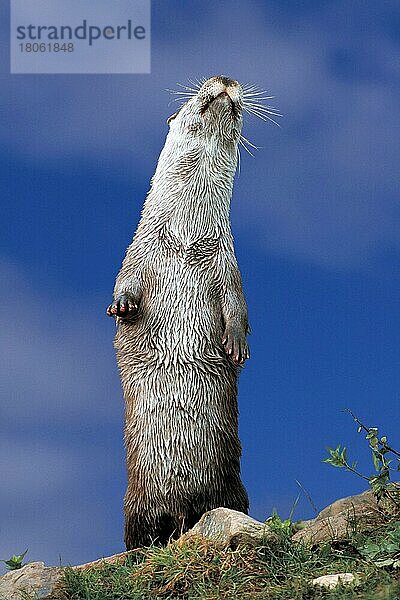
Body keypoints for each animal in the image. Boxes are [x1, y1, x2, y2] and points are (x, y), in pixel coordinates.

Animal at [108, 75, 252, 548]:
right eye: (200, 90)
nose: (225, 80)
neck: (186, 237)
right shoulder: (140, 251)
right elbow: (124, 281)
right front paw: (122, 305)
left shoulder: (226, 262)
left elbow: (237, 304)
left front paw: (236, 344)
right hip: (136, 502)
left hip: (230, 486)